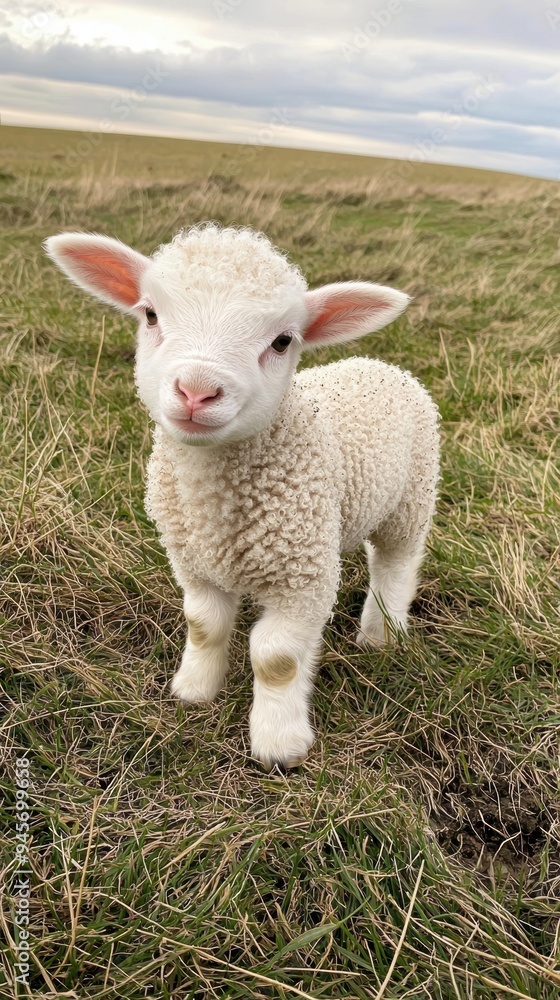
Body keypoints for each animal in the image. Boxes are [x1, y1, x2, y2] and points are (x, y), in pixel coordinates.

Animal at [44, 223, 440, 770]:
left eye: (282, 340)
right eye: (150, 314)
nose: (196, 390)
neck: (217, 505)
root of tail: (378, 362)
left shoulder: (302, 579)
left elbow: (276, 658)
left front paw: (279, 745)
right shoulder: (193, 562)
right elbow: (203, 625)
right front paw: (194, 691)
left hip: (412, 498)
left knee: (396, 565)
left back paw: (381, 636)